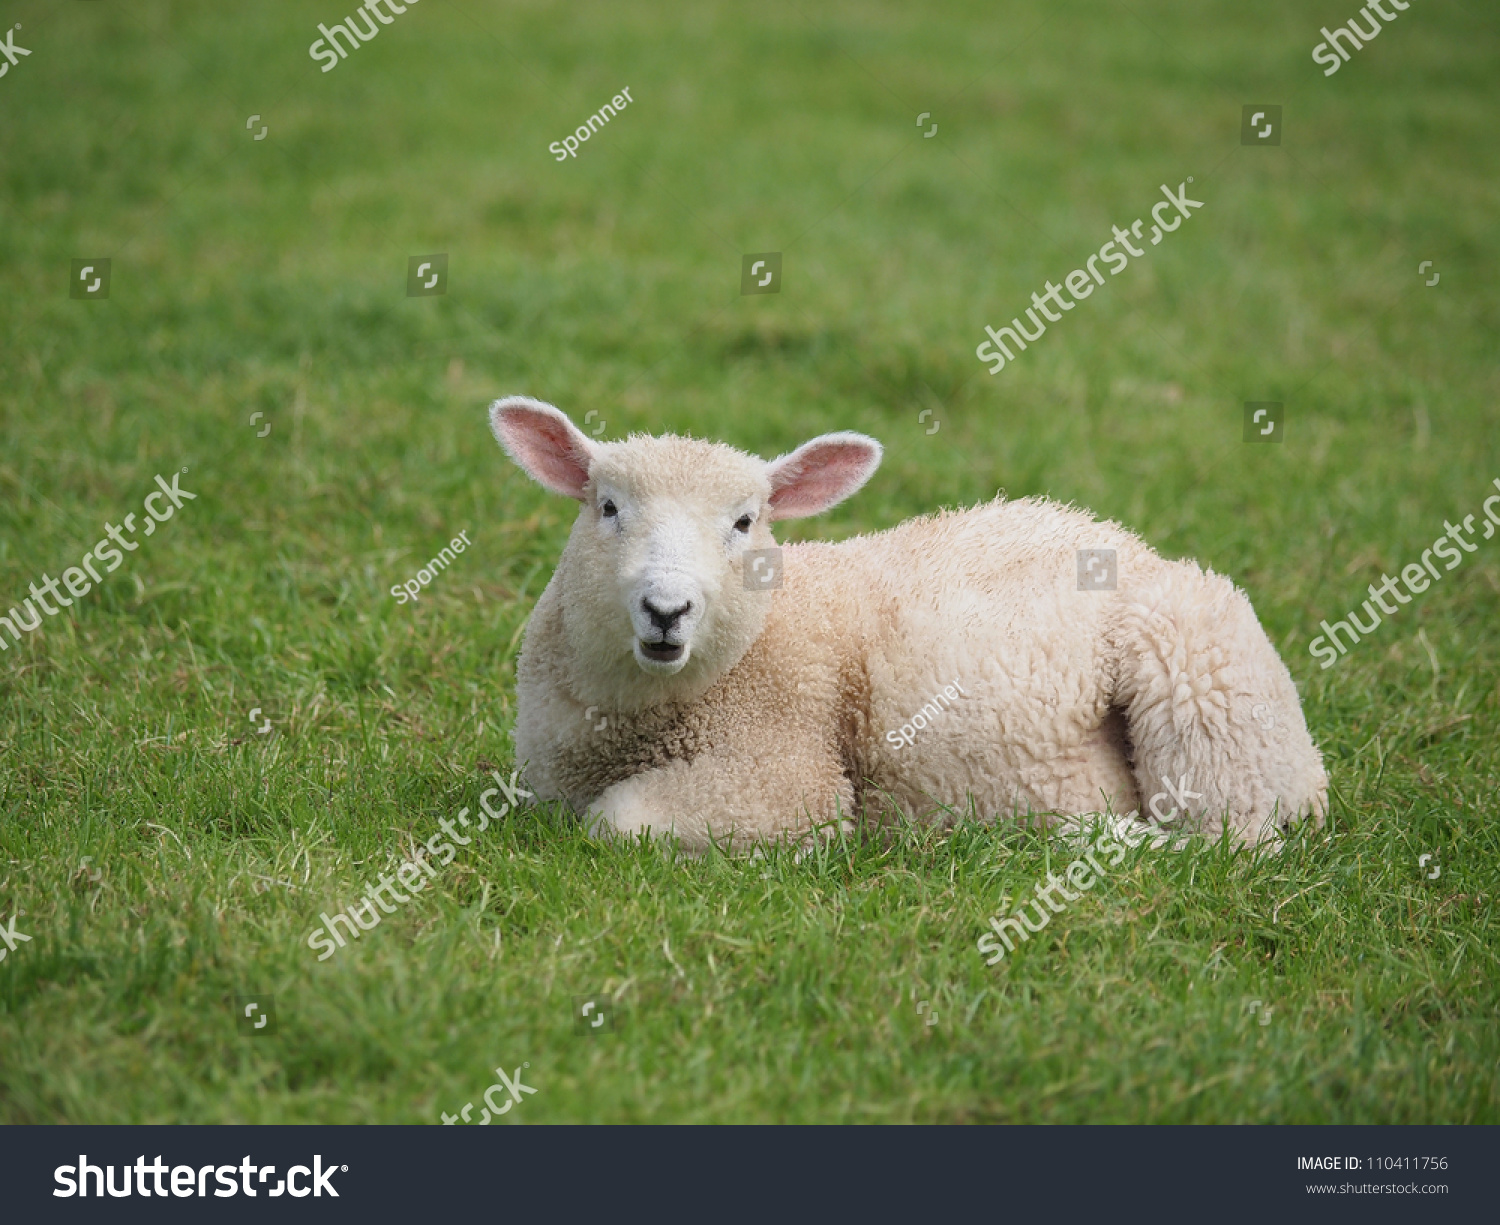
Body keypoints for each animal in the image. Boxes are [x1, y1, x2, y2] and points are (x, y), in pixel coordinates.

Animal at [489, 395, 1326, 857]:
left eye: (745, 521)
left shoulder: (782, 768)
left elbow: (619, 818)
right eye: (607, 507)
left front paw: (809, 849)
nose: (666, 609)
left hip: (1204, 687)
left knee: (1233, 838)